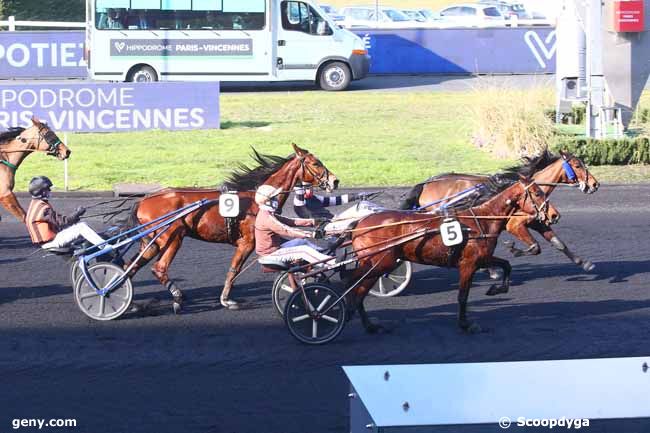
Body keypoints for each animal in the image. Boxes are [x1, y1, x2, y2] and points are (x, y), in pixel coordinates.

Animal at [127, 144, 340, 310]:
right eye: (315, 163)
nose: (335, 180)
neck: (258, 200)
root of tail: (144, 200)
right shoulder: (247, 242)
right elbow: (234, 270)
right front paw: (226, 300)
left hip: (151, 242)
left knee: (131, 267)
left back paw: (129, 303)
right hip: (172, 238)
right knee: (159, 268)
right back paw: (177, 296)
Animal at [350, 176, 556, 334]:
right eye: (538, 193)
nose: (553, 215)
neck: (481, 220)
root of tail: (359, 223)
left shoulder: (482, 259)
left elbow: (507, 265)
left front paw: (496, 289)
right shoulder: (468, 264)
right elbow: (462, 296)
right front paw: (466, 324)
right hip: (380, 264)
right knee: (356, 292)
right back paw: (369, 325)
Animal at [398, 150, 600, 272]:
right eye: (577, 165)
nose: (595, 184)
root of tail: (425, 184)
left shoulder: (536, 222)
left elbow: (558, 243)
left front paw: (584, 263)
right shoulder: (514, 224)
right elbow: (534, 247)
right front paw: (513, 250)